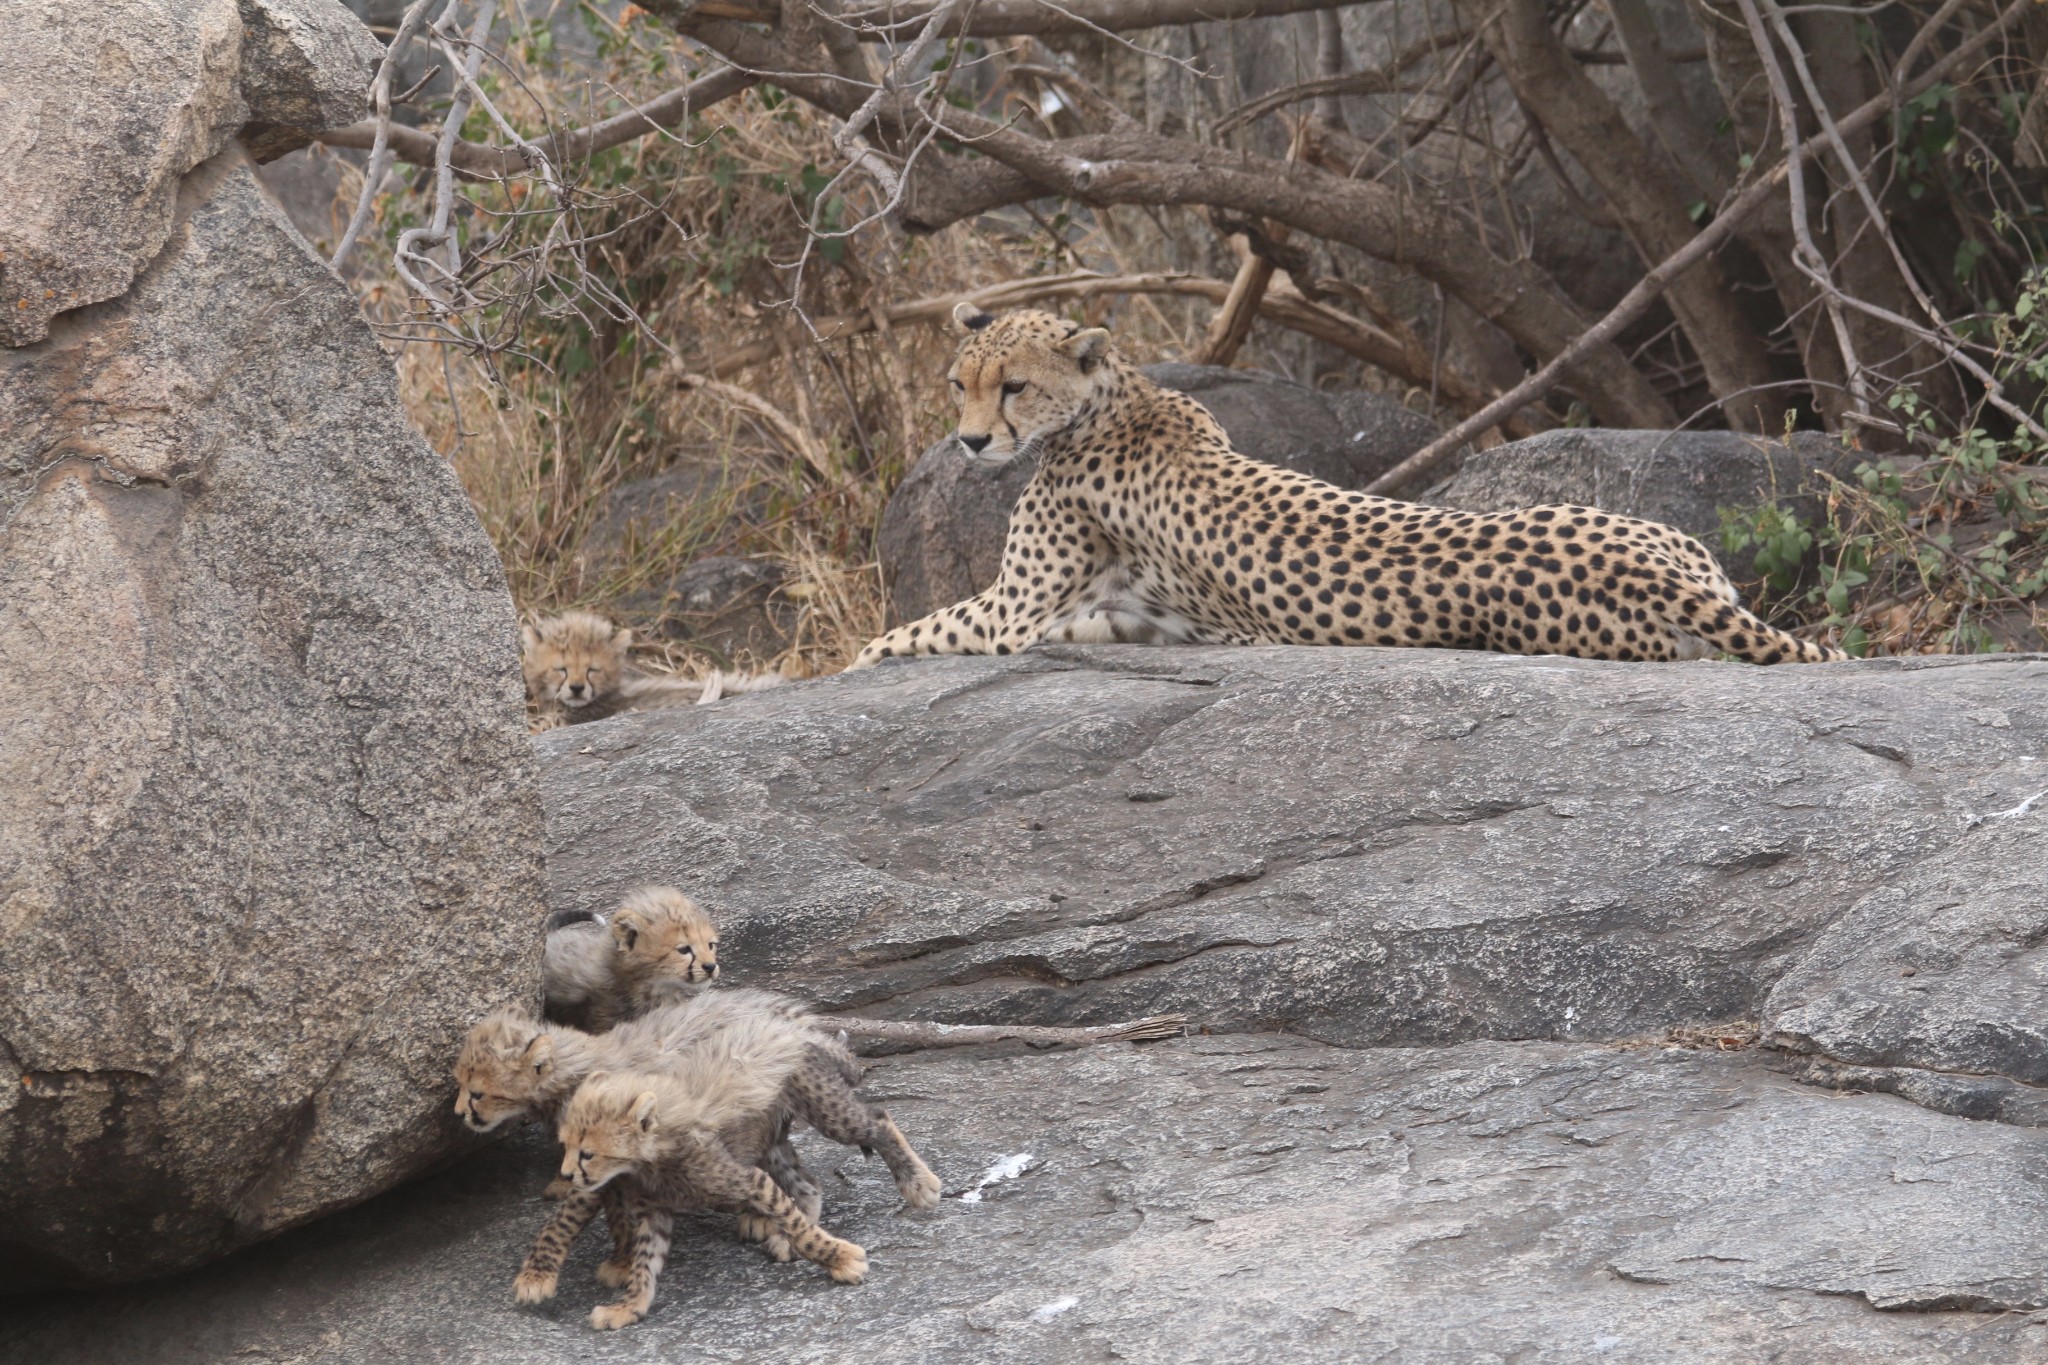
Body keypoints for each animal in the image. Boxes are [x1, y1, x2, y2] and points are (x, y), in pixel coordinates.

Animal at [856, 309, 1851, 671]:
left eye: (1013, 386)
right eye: (959, 382)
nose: (969, 440)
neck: (1116, 396)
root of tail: (1656, 573)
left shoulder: (1010, 612)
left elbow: (897, 635)